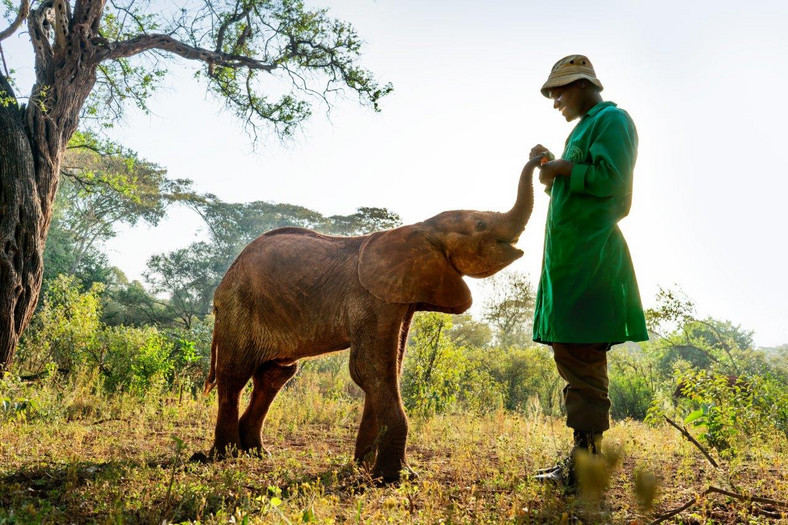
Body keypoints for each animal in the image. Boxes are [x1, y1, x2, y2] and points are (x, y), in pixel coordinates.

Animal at [203, 158, 540, 482]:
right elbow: (369, 368)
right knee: (235, 373)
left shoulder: (399, 299)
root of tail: (223, 283)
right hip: (238, 306)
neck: (422, 228)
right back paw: (224, 455)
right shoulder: (370, 298)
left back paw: (257, 453)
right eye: (480, 224)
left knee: (275, 373)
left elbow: (388, 369)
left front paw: (363, 468)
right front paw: (396, 476)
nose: (540, 154)